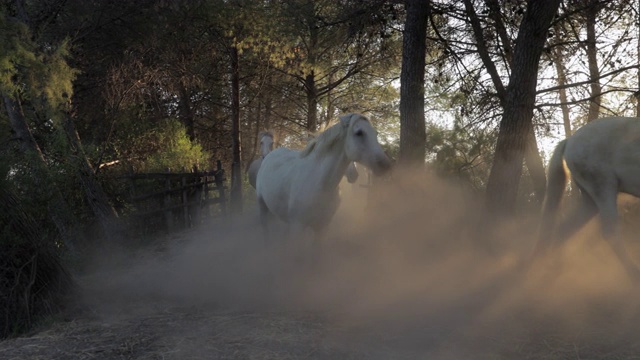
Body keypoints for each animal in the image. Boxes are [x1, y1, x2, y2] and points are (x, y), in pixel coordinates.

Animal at [255, 113, 390, 245]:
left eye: (376, 133)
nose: (386, 165)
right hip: (262, 207)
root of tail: (269, 155)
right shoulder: (297, 227)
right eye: (359, 132)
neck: (321, 183)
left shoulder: (322, 228)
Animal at [536, 116, 640, 278]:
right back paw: (633, 272)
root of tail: (569, 141)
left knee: (564, 230)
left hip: (590, 202)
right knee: (610, 232)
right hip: (603, 188)